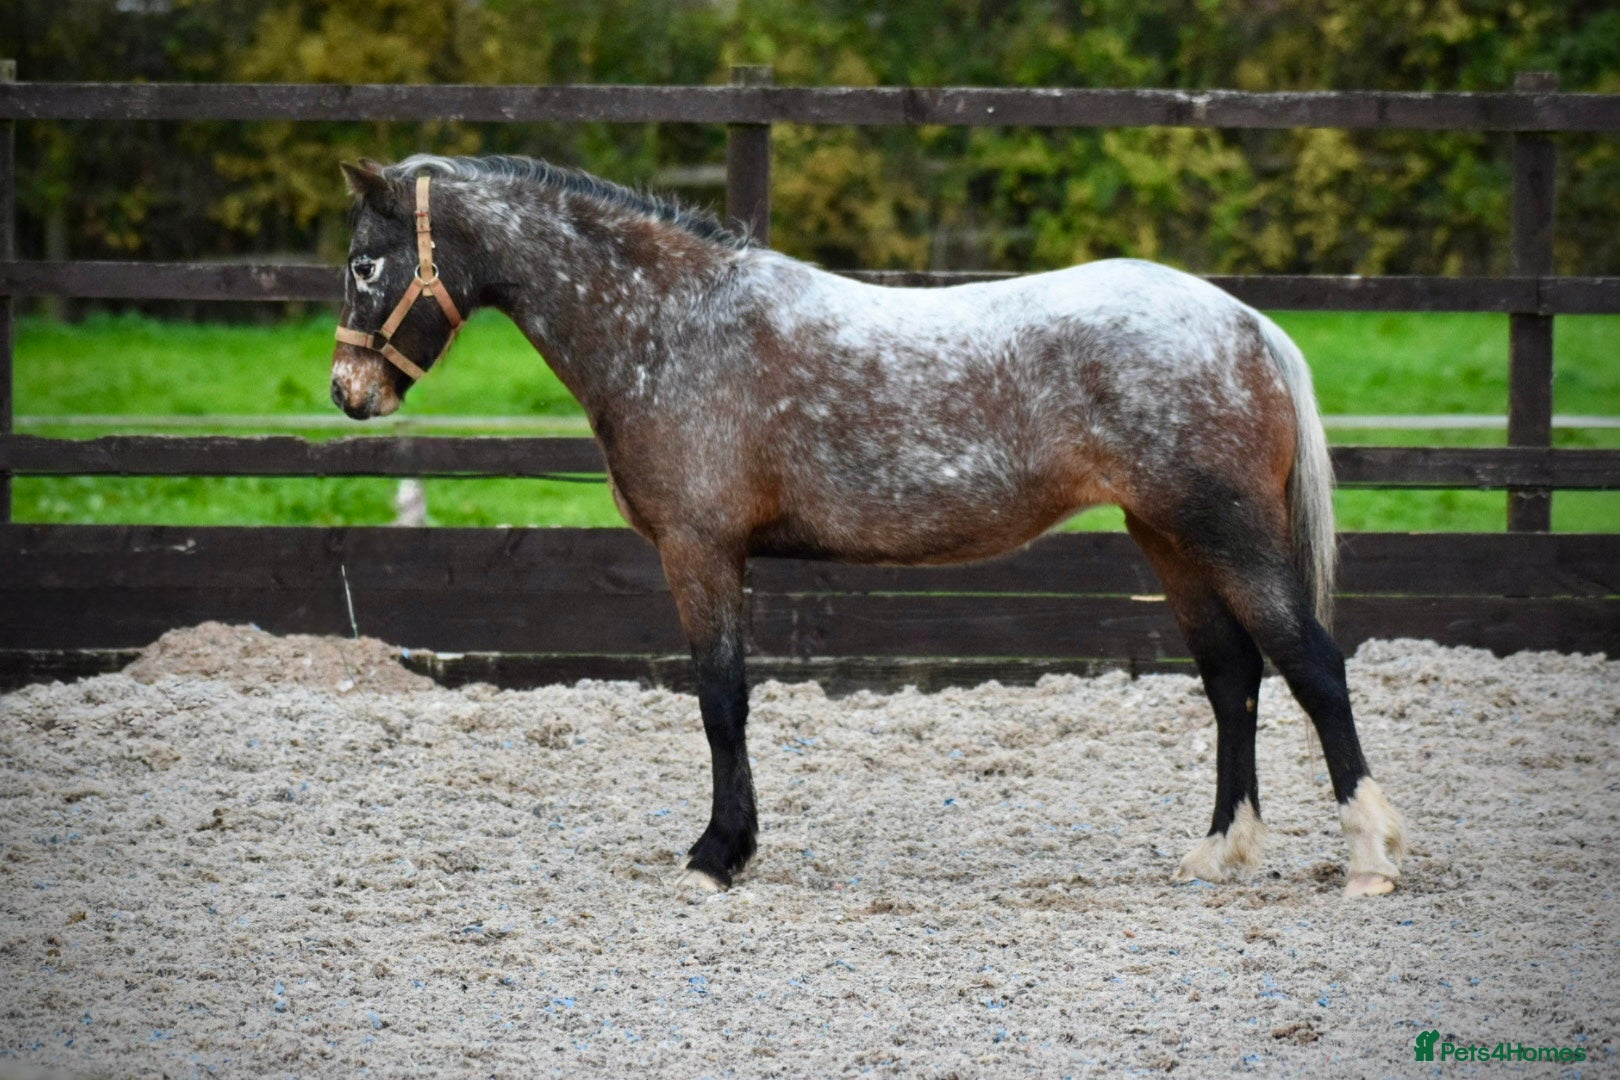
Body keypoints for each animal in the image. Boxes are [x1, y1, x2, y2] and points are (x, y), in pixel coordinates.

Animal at [330, 154, 1408, 898]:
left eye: (364, 264)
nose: (348, 393)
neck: (674, 324)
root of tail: (1246, 325)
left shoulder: (700, 552)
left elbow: (721, 700)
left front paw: (717, 854)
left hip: (1226, 535)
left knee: (1312, 667)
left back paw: (1370, 857)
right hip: (1170, 541)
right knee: (1233, 681)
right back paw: (1219, 851)